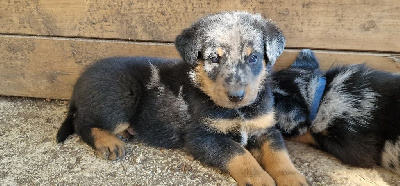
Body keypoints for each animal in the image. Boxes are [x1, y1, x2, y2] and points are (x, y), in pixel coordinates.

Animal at [56, 12, 308, 186]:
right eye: (214, 59)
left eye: (253, 57)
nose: (236, 96)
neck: (239, 111)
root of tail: (79, 84)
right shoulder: (201, 136)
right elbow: (238, 152)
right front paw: (259, 178)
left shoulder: (266, 128)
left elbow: (280, 156)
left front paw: (293, 178)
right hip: (120, 98)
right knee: (83, 122)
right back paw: (108, 143)